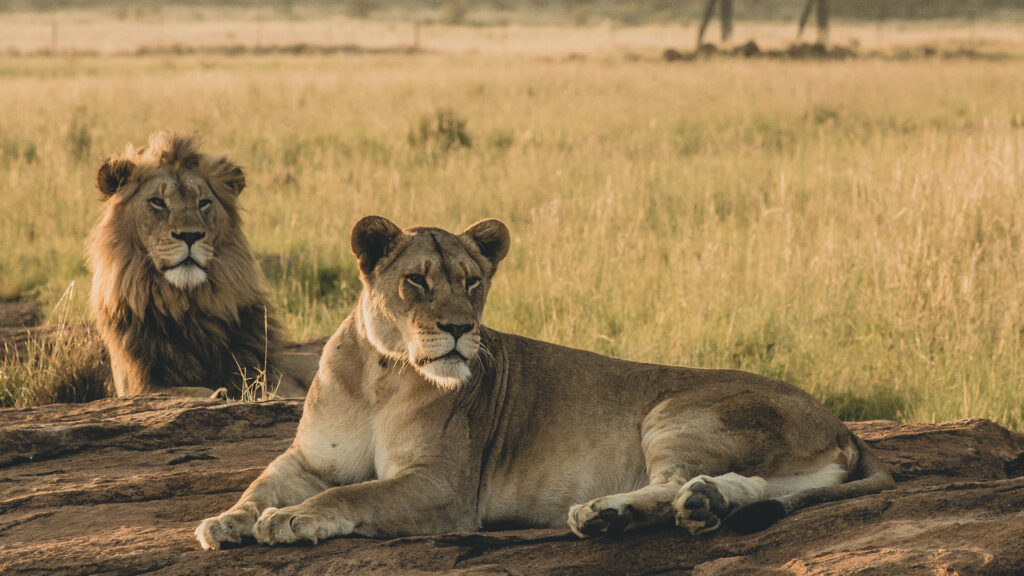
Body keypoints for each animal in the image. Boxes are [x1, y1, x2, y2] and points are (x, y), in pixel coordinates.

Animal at [88, 132, 315, 397]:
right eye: (157, 202)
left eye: (204, 203)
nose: (190, 235)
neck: (186, 306)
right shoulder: (140, 384)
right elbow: (185, 391)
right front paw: (217, 393)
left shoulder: (274, 377)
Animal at [195, 216, 892, 545]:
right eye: (416, 281)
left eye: (473, 282)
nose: (459, 328)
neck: (380, 374)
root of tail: (842, 424)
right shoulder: (308, 457)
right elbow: (260, 485)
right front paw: (225, 522)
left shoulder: (444, 487)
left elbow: (353, 495)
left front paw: (293, 520)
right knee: (745, 486)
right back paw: (702, 505)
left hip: (677, 410)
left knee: (670, 483)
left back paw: (606, 514)